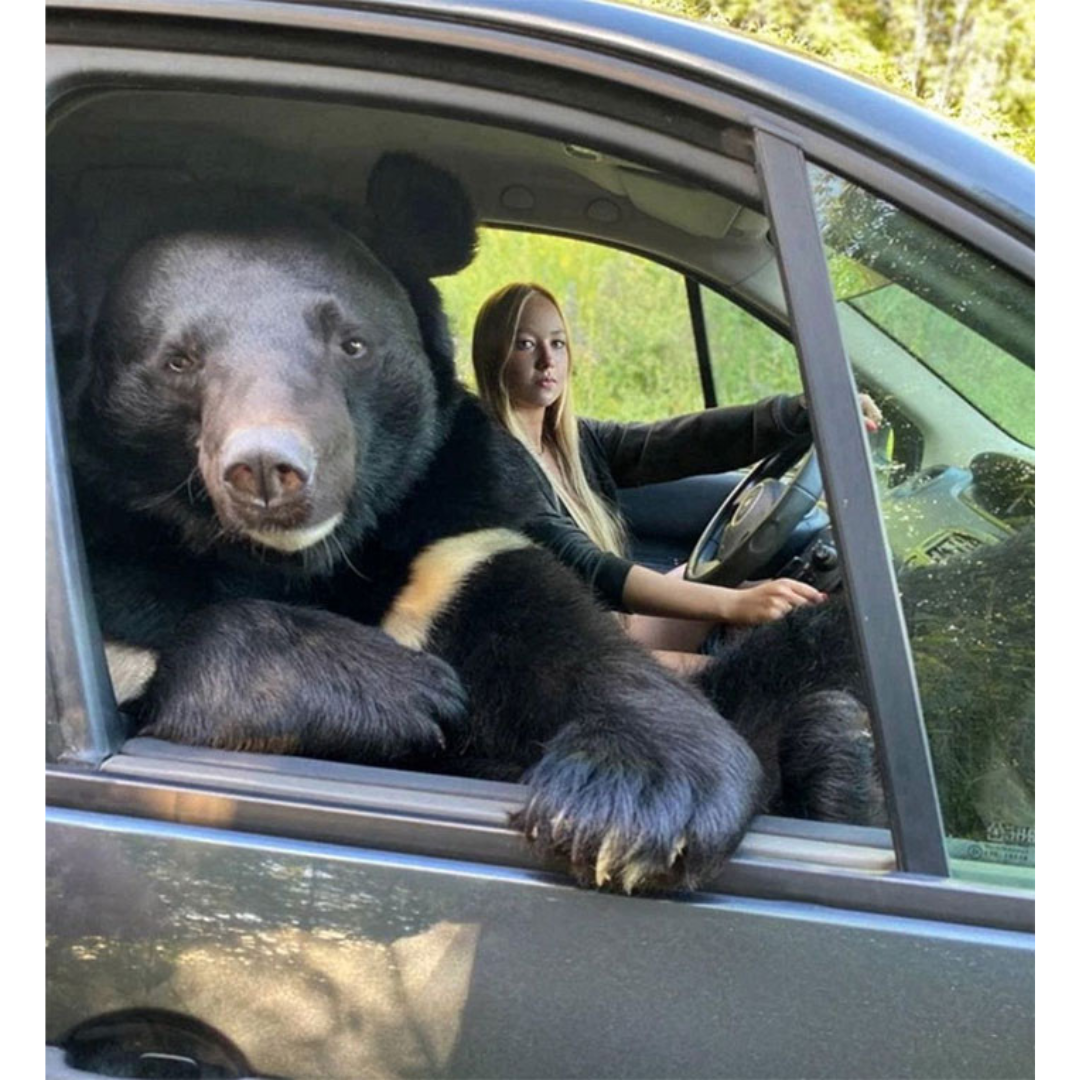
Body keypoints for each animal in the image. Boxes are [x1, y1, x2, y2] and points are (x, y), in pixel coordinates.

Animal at [55, 153, 883, 893]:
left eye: (352, 344)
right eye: (179, 361)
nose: (268, 469)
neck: (308, 563)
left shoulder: (456, 540)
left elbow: (562, 640)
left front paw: (633, 803)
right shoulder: (115, 584)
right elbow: (161, 675)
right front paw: (403, 691)